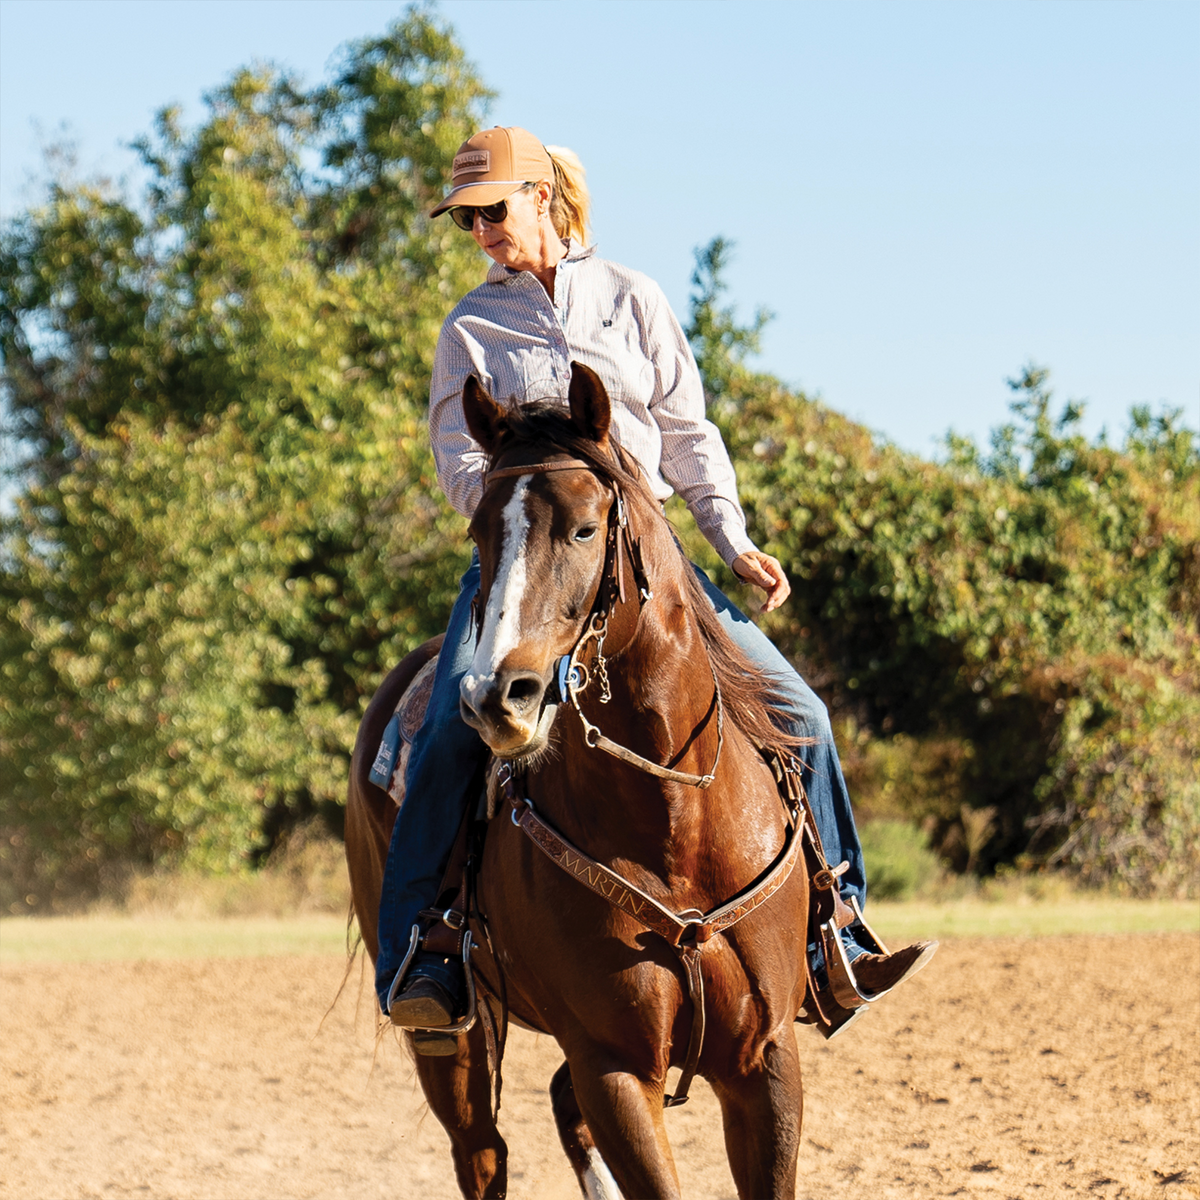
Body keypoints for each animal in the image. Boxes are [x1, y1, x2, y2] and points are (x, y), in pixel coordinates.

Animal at [346, 364, 813, 1199]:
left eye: (586, 529)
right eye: (479, 534)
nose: (497, 697)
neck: (677, 826)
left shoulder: (765, 1062)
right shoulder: (614, 1065)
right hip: (451, 1041)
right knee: (483, 1151)